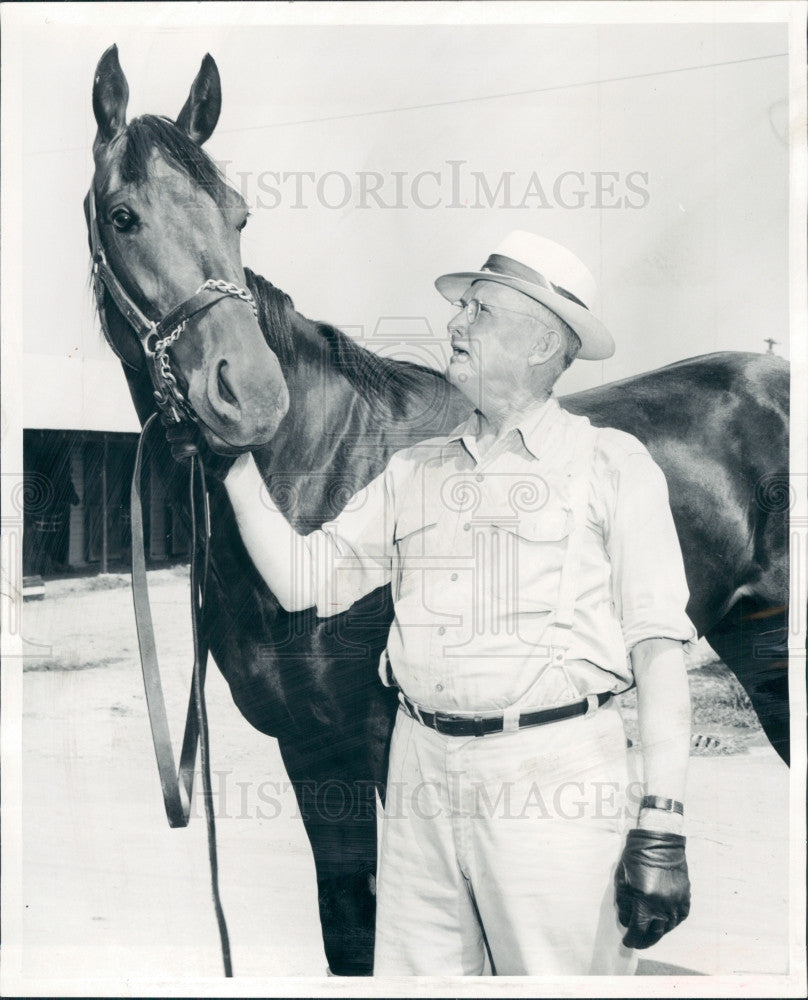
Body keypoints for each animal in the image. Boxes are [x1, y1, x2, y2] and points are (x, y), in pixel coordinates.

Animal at [88, 43, 788, 972]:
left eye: (238, 217)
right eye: (123, 215)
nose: (250, 395)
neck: (318, 469)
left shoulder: (372, 747)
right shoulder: (311, 752)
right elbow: (347, 931)